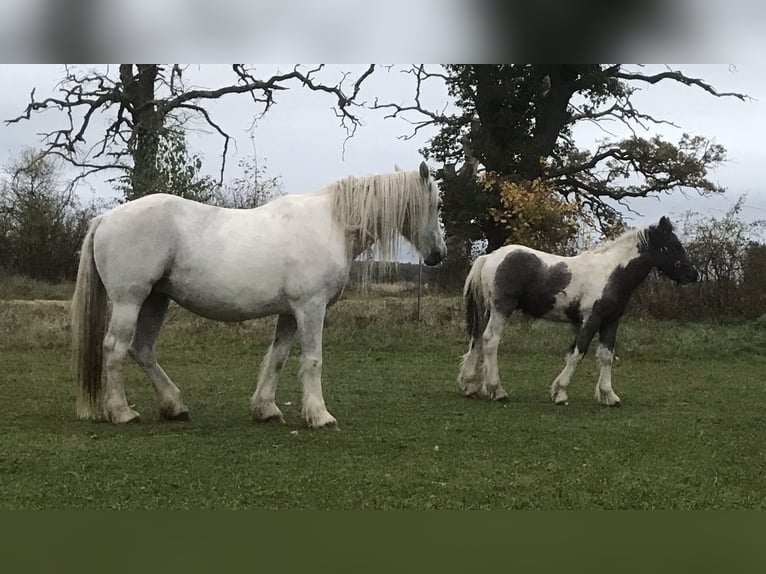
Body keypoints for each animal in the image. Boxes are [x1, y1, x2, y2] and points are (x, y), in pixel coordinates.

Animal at [73, 162, 448, 428]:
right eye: (437, 204)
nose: (438, 255)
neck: (331, 224)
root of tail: (105, 218)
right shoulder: (311, 308)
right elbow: (313, 360)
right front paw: (319, 415)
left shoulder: (290, 313)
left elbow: (278, 357)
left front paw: (265, 409)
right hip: (130, 300)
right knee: (115, 349)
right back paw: (122, 412)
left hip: (156, 300)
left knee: (143, 350)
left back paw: (174, 406)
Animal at [460, 217, 700, 410]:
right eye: (673, 245)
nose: (694, 274)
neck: (611, 273)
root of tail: (489, 257)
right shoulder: (590, 320)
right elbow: (578, 353)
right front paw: (560, 392)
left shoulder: (611, 321)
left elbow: (606, 356)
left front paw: (609, 396)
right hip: (502, 309)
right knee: (491, 341)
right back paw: (498, 391)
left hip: (487, 310)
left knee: (477, 340)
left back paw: (471, 386)